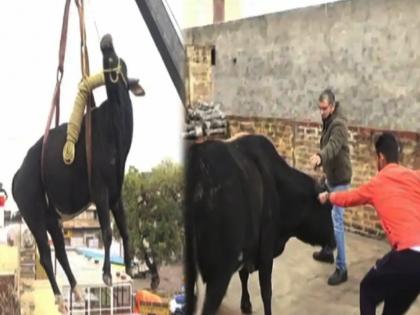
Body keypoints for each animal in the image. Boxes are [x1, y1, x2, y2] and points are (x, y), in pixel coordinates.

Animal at [184, 135, 334, 314]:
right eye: (328, 208)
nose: (334, 241)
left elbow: (243, 276)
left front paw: (246, 304)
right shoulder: (266, 248)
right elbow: (266, 291)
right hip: (219, 273)